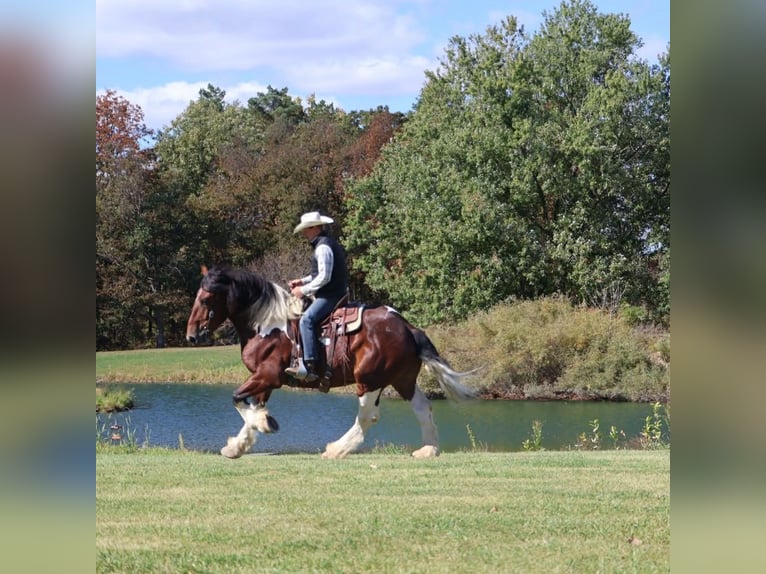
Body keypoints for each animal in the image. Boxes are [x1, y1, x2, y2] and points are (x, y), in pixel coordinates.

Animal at [185, 265, 476, 459]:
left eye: (206, 298)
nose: (191, 335)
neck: (267, 325)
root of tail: (408, 328)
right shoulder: (263, 380)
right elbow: (252, 407)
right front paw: (241, 442)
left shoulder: (268, 376)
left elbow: (236, 398)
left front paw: (265, 424)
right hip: (402, 380)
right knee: (423, 408)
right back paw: (428, 449)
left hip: (369, 380)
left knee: (367, 416)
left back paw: (336, 449)